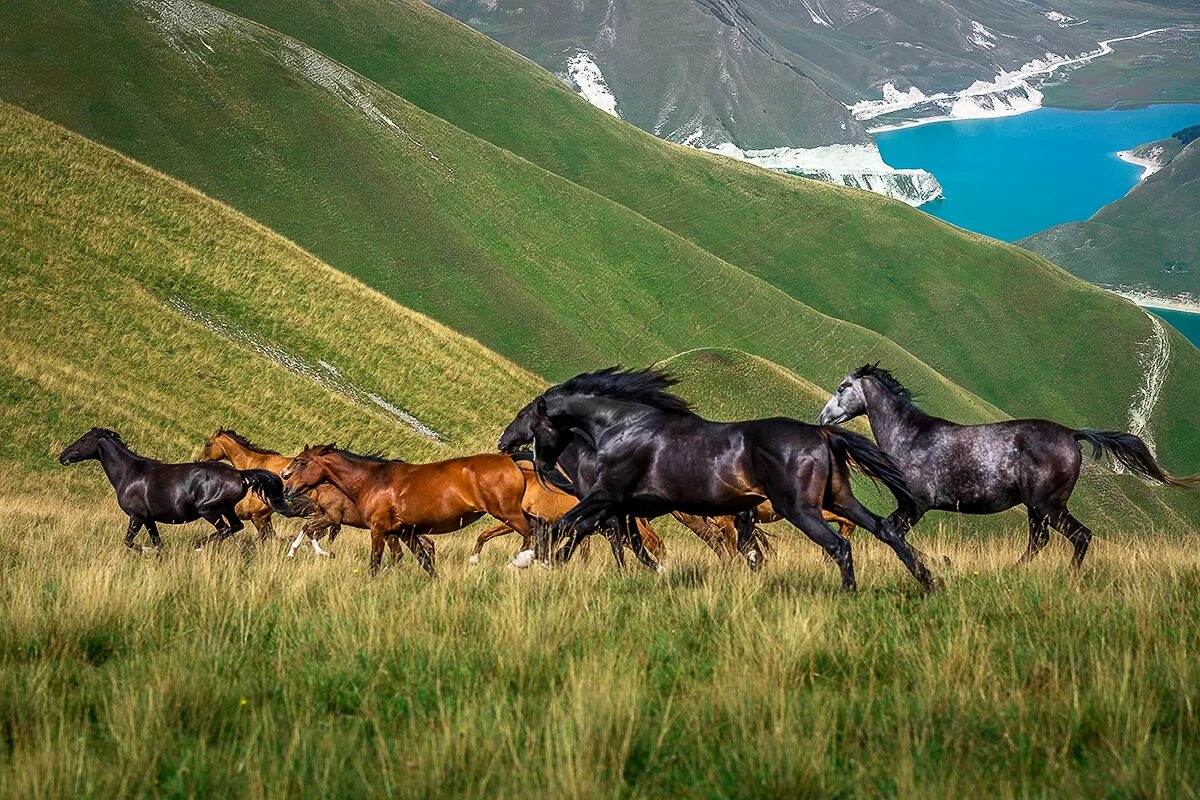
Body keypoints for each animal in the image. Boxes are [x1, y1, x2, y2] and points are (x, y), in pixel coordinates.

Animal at [59, 429, 309, 554]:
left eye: (83, 439)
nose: (63, 456)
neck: (129, 473)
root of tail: (239, 475)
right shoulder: (149, 519)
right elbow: (157, 542)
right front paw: (158, 554)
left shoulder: (137, 517)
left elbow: (129, 541)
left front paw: (147, 552)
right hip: (228, 510)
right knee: (236, 527)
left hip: (210, 511)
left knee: (225, 529)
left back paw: (198, 546)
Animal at [280, 443, 535, 575]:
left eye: (301, 462)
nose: (286, 484)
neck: (370, 481)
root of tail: (512, 461)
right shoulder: (403, 532)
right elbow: (424, 562)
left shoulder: (378, 529)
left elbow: (375, 562)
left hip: (508, 513)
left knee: (533, 534)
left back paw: (520, 562)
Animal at [516, 367, 936, 592]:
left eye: (526, 416)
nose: (507, 442)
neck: (622, 427)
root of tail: (822, 433)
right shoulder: (620, 504)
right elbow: (591, 530)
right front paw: (546, 560)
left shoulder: (608, 494)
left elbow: (567, 523)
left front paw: (528, 559)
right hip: (838, 499)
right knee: (885, 529)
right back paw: (928, 580)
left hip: (801, 509)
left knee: (839, 545)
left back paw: (850, 593)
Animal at [816, 367, 1200, 566]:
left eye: (842, 387)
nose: (823, 417)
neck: (912, 437)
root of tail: (1072, 435)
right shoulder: (910, 507)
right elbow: (888, 530)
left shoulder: (916, 504)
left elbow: (890, 530)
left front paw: (940, 561)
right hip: (1037, 508)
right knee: (1041, 541)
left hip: (1048, 505)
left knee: (1079, 536)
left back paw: (1069, 579)